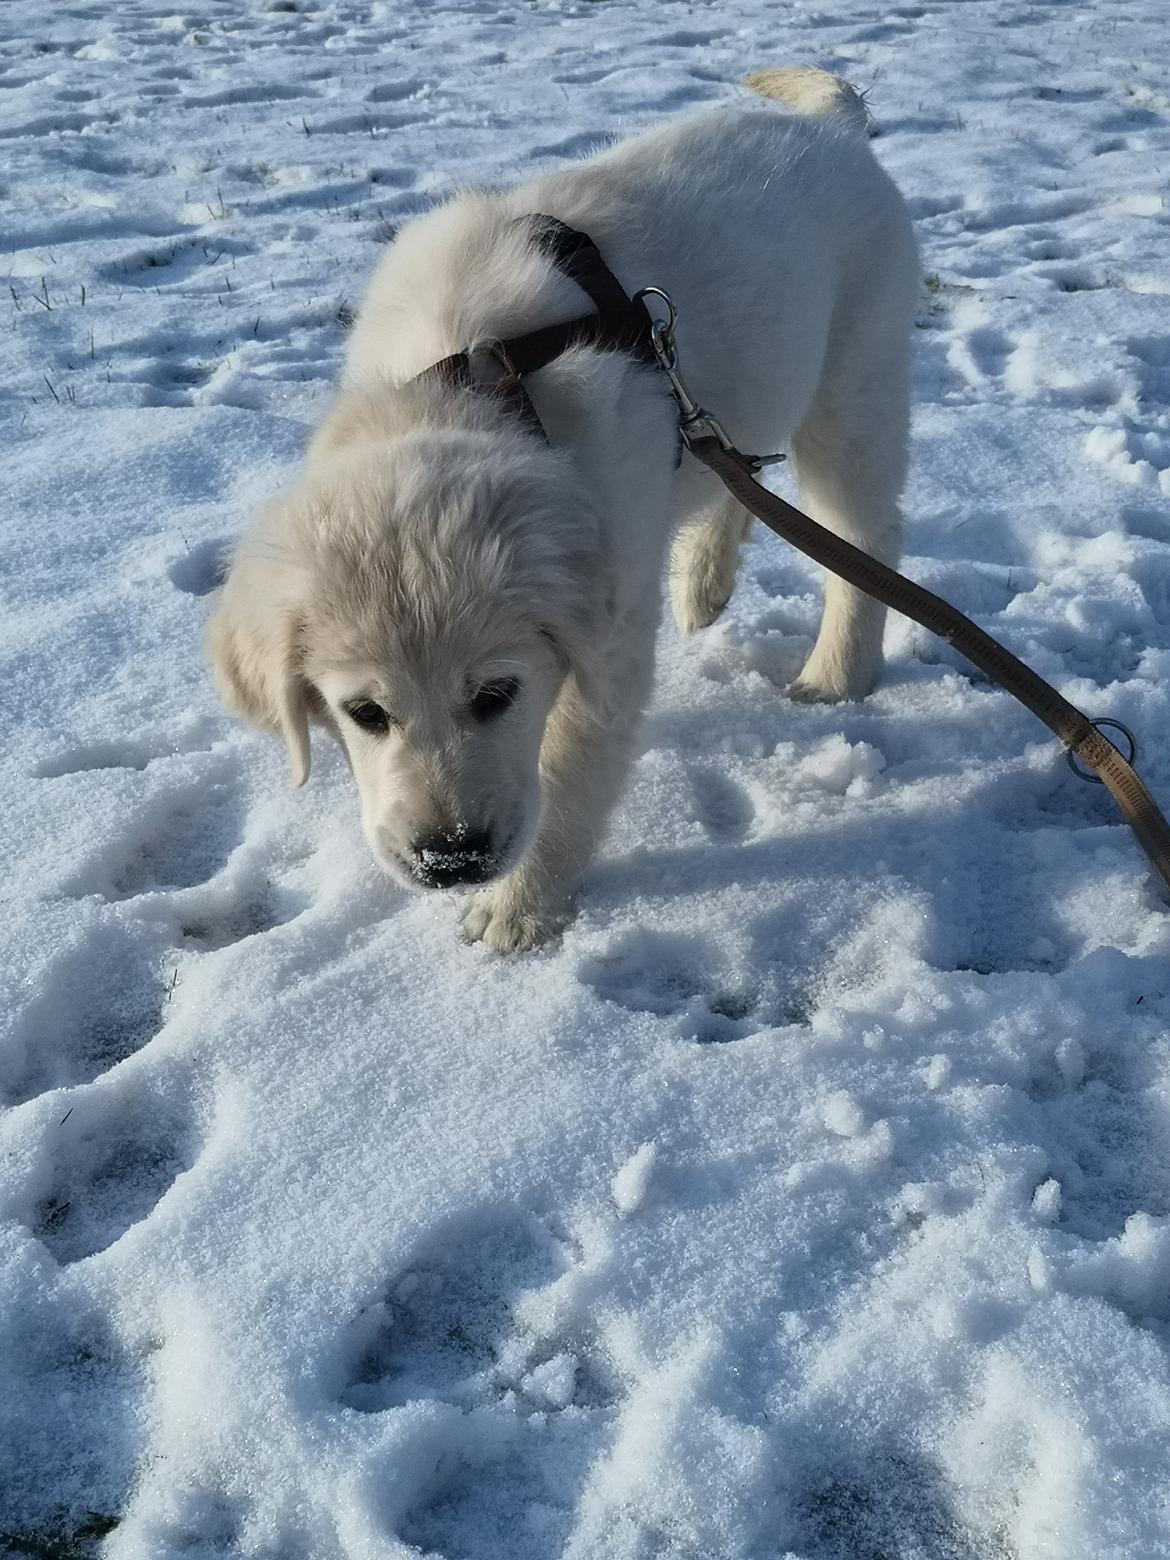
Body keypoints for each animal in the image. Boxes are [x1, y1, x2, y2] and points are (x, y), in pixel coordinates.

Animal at [210, 70, 923, 948]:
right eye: (364, 712)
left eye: (497, 695)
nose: (452, 858)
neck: (468, 383)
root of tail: (834, 127)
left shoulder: (607, 636)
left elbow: (569, 766)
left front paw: (518, 911)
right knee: (738, 475)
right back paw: (703, 584)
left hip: (854, 381)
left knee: (863, 533)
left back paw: (835, 673)